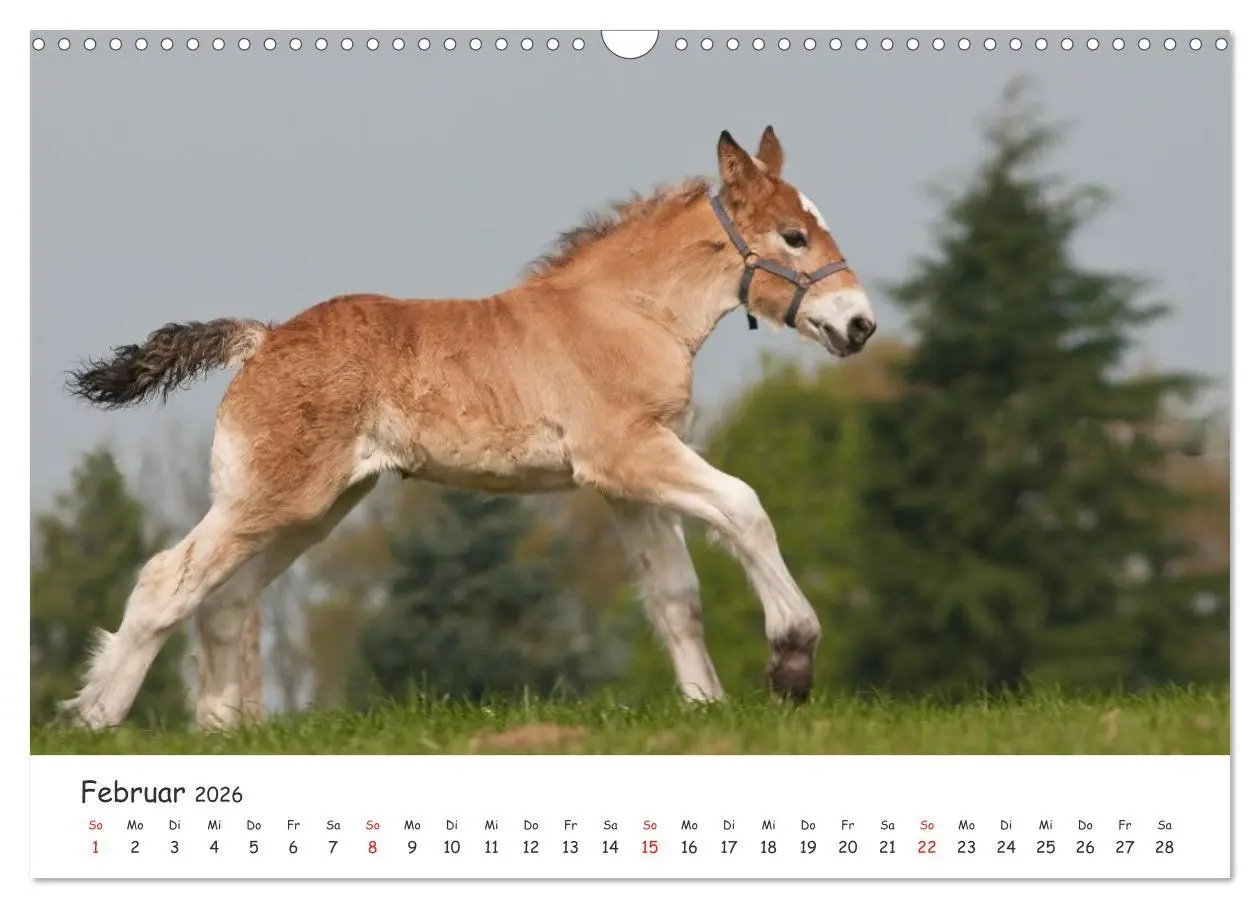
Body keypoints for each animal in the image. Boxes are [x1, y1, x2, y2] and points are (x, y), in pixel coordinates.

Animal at [61, 126, 877, 731]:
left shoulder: (628, 482)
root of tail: (262, 340)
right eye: (794, 236)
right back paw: (95, 717)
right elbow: (744, 507)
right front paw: (792, 661)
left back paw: (223, 730)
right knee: (167, 581)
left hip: (314, 508)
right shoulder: (631, 454)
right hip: (270, 499)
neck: (625, 313)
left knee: (225, 600)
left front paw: (705, 708)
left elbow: (676, 596)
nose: (860, 325)